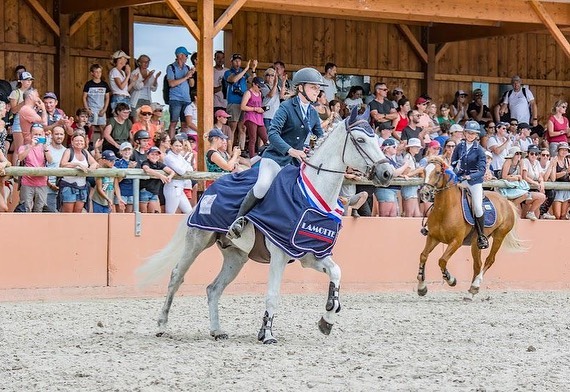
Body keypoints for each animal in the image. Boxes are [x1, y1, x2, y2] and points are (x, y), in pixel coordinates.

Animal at [138, 107, 394, 344]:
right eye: (360, 140)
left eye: (375, 139)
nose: (387, 173)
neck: (312, 196)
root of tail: (207, 192)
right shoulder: (279, 254)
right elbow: (272, 294)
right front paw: (267, 334)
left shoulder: (310, 254)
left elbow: (337, 272)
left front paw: (327, 319)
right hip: (197, 242)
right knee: (176, 277)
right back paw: (162, 325)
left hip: (236, 256)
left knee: (213, 289)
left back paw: (217, 330)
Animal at [412, 156, 524, 298]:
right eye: (424, 172)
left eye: (437, 172)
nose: (424, 193)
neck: (445, 209)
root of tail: (506, 202)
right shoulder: (433, 237)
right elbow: (423, 256)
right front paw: (421, 287)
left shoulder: (456, 241)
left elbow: (442, 260)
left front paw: (451, 280)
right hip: (476, 243)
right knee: (477, 264)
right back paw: (471, 292)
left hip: (499, 236)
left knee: (489, 260)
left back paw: (475, 285)